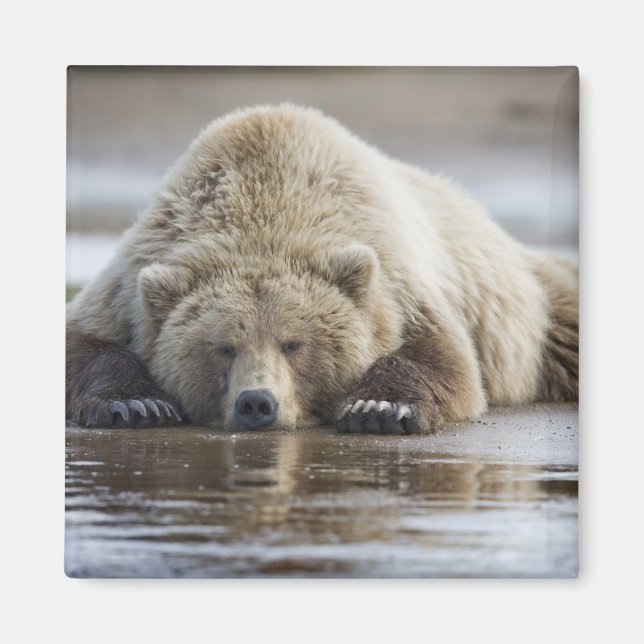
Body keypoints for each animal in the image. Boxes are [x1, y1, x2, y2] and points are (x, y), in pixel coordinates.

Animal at [66, 103, 578, 434]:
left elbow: (443, 357)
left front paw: (380, 408)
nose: (257, 403)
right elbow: (85, 342)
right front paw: (136, 403)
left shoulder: (395, 277)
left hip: (539, 304)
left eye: (294, 343)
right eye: (223, 347)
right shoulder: (135, 273)